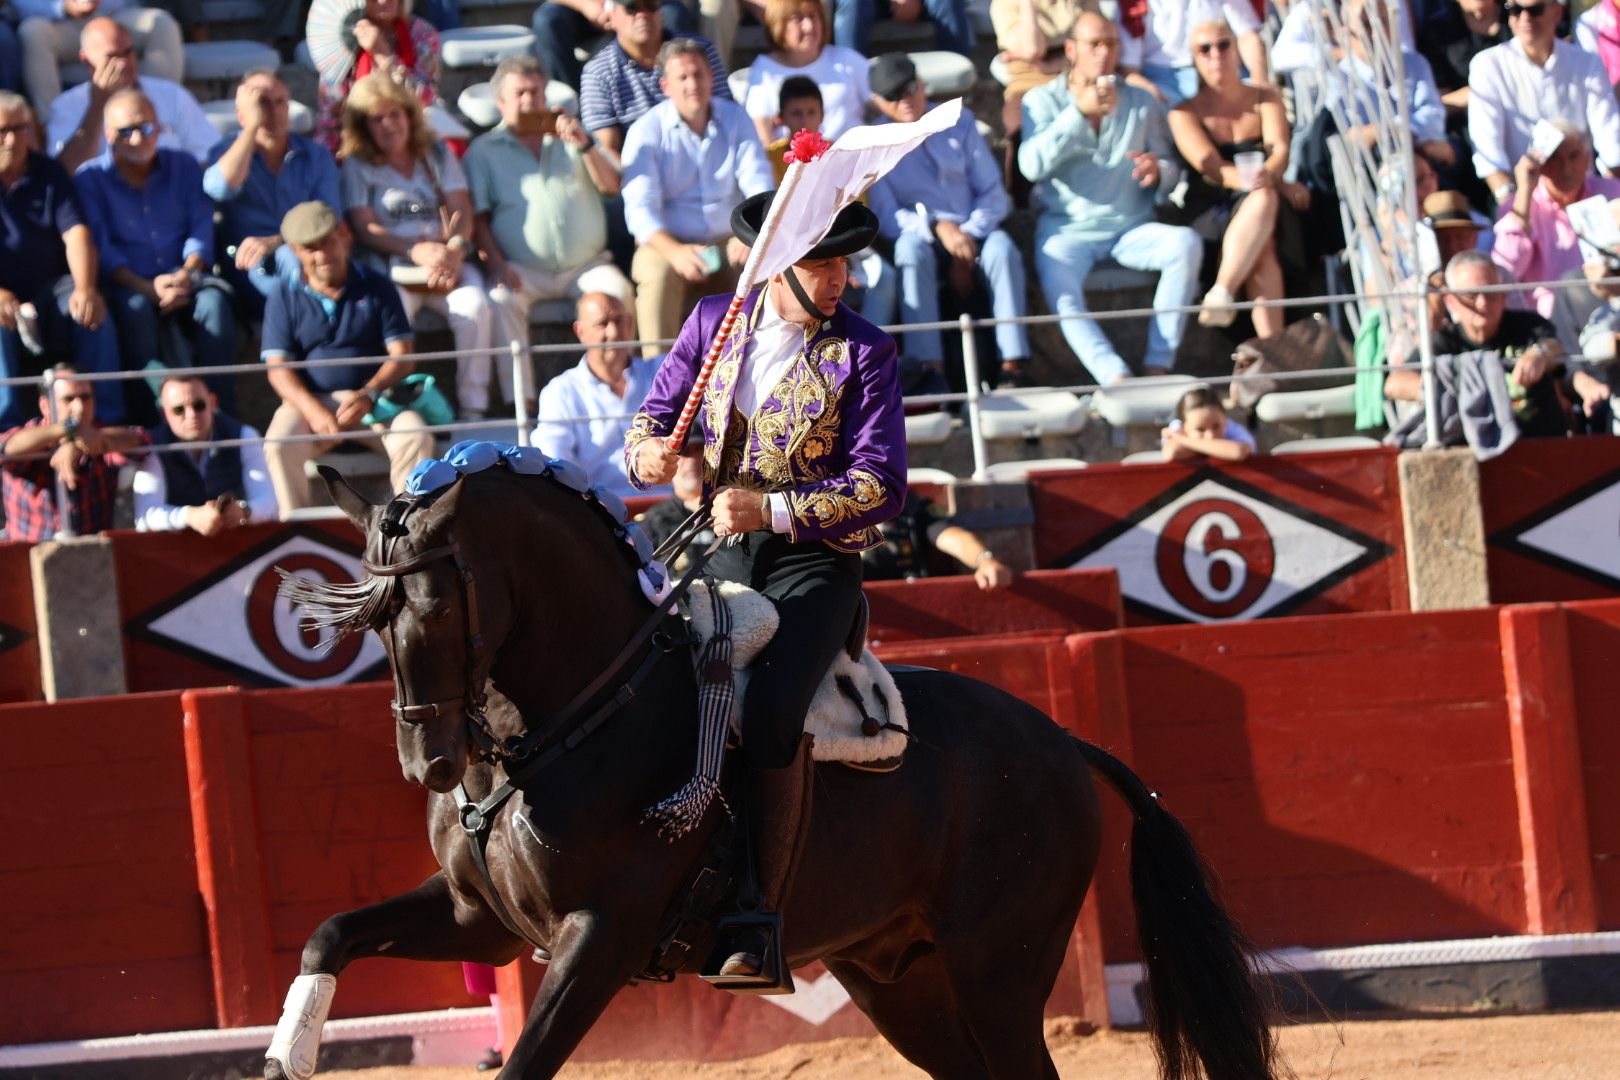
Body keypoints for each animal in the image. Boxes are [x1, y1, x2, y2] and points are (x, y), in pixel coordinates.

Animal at [265, 459, 1276, 1080]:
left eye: (435, 606)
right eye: (368, 615)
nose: (428, 762)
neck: (579, 713)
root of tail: (1062, 742)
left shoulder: (602, 938)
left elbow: (524, 1062)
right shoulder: (486, 923)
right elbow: (329, 932)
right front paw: (289, 1053)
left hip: (1000, 970)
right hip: (899, 978)